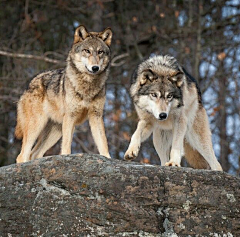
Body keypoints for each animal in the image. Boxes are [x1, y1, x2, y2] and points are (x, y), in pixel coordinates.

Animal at [15, 25, 113, 163]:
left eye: (100, 52)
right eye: (87, 51)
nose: (95, 68)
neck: (87, 87)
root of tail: (28, 86)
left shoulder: (96, 116)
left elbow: (103, 142)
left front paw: (108, 158)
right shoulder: (70, 117)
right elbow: (66, 145)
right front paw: (67, 158)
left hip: (55, 131)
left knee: (34, 154)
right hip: (37, 126)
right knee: (22, 155)